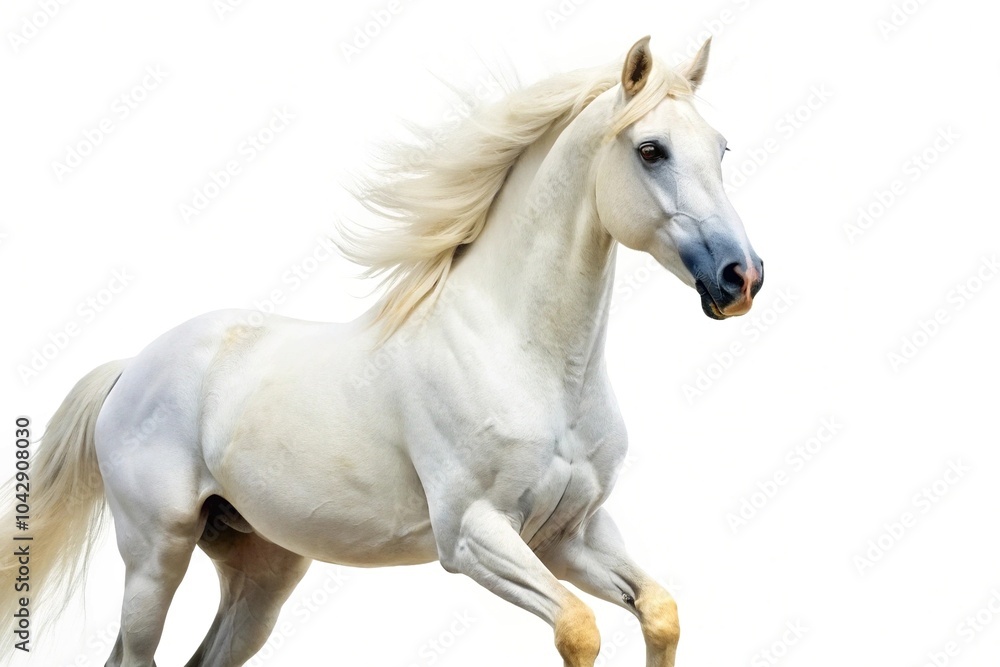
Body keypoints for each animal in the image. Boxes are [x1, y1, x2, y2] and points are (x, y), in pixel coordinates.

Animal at [3, 35, 762, 667]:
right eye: (651, 149)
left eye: (722, 148)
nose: (741, 277)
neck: (529, 360)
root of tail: (133, 366)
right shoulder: (474, 535)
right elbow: (578, 628)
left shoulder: (571, 535)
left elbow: (660, 611)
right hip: (155, 555)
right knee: (134, 655)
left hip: (263, 570)